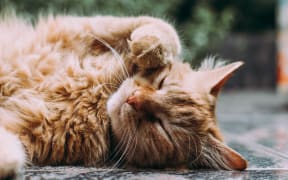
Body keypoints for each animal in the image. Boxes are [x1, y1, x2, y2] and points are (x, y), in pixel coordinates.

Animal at [0, 15, 246, 177]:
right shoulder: (76, 29)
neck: (99, 98)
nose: (133, 99)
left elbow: (13, 151)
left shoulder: (28, 133)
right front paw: (147, 48)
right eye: (161, 83)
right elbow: (164, 29)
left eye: (162, 128)